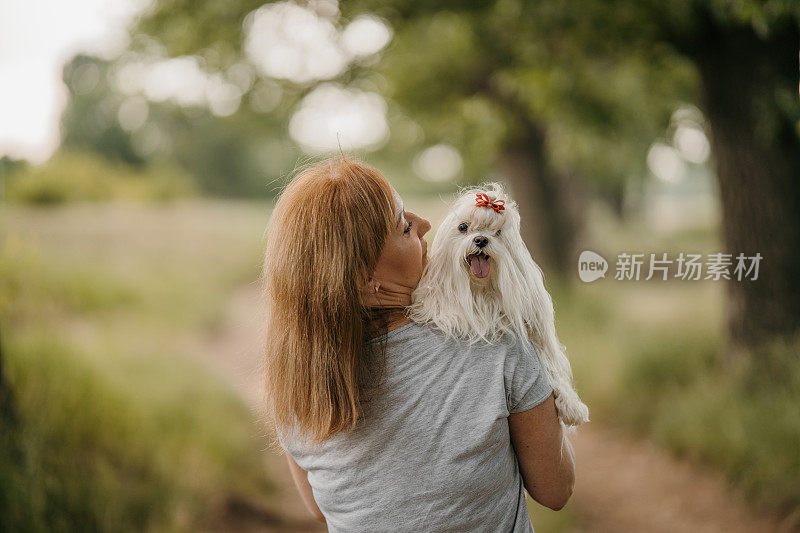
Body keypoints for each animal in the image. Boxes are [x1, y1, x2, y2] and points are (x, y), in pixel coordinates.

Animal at [410, 183, 592, 428]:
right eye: (463, 227)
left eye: (497, 233)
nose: (481, 240)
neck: (482, 293)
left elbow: (549, 365)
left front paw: (571, 405)